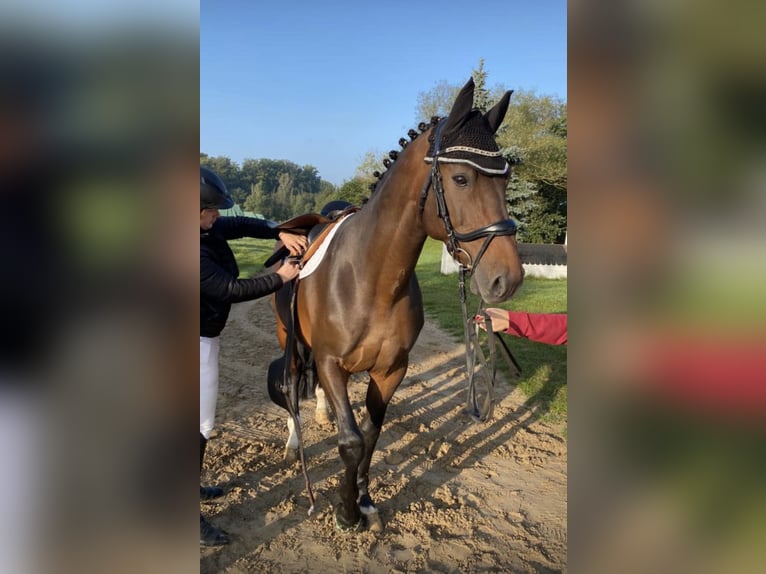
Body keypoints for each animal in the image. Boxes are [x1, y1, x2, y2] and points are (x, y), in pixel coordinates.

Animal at [271, 77, 524, 530]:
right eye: (461, 178)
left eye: (507, 179)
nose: (506, 279)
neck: (369, 279)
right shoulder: (331, 363)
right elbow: (350, 441)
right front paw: (346, 512)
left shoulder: (391, 369)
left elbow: (371, 432)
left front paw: (364, 499)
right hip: (291, 340)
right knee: (291, 384)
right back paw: (295, 439)